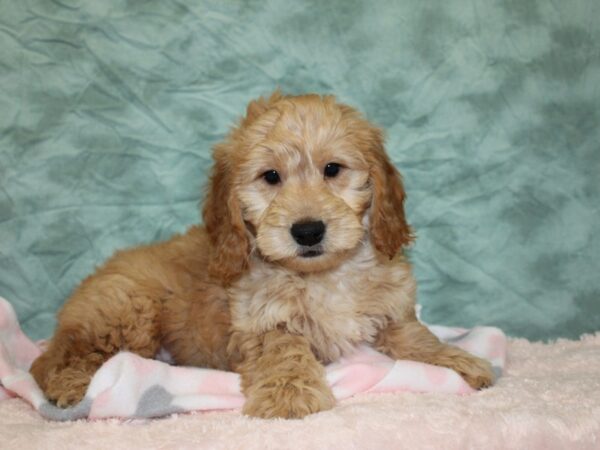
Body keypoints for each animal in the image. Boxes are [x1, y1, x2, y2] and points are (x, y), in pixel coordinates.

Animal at [30, 93, 494, 420]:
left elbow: (417, 338)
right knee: (55, 359)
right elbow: (284, 351)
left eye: (333, 170)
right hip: (128, 313)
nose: (307, 231)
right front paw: (291, 394)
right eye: (271, 177)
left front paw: (459, 361)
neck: (320, 275)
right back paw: (74, 388)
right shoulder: (262, 321)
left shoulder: (392, 313)